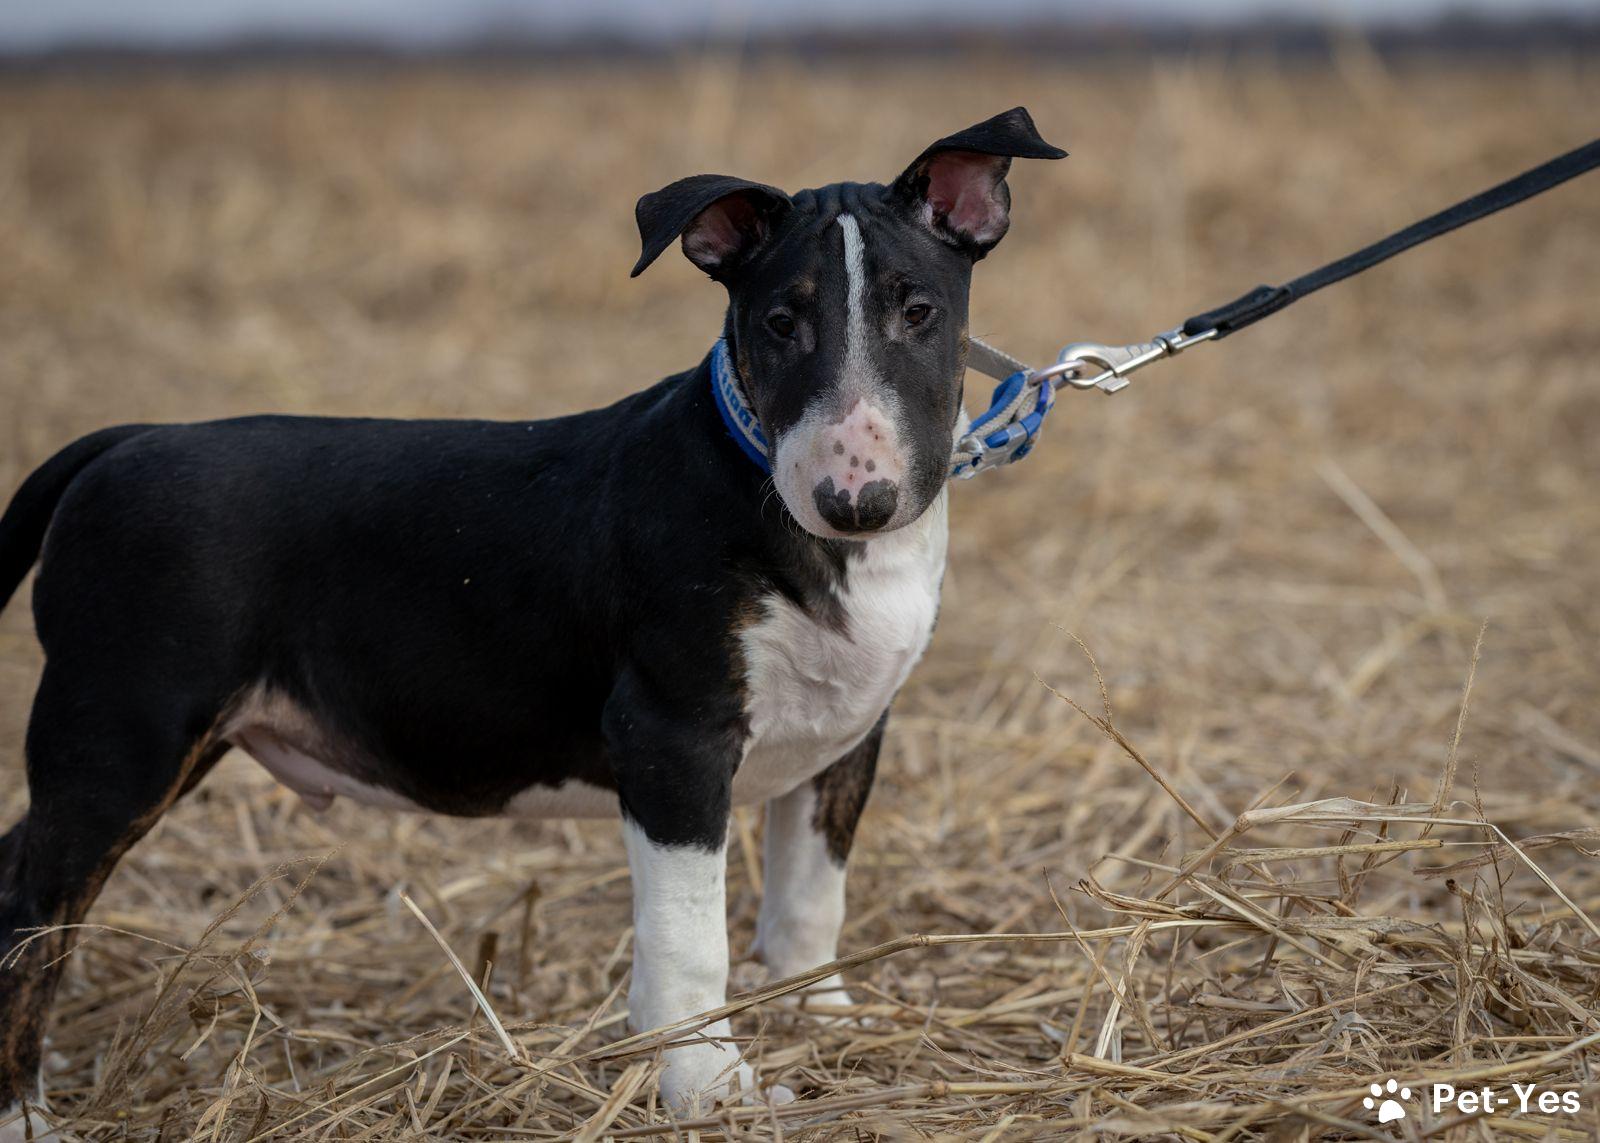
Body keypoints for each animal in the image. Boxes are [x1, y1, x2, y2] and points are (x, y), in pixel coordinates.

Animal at [0, 106, 1063, 1132]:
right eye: (778, 322)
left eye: (919, 313)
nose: (856, 500)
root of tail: (125, 441)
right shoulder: (672, 740)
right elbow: (688, 937)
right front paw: (704, 1087)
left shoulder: (847, 734)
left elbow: (809, 900)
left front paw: (823, 1022)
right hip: (121, 730)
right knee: (30, 913)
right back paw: (26, 1114)